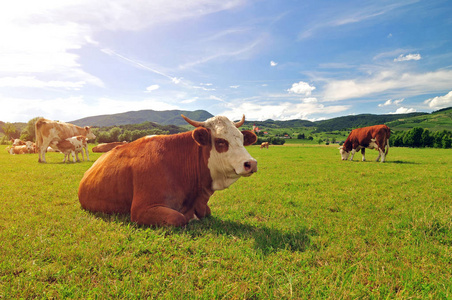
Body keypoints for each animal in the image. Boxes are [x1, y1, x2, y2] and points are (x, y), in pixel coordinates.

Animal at [78, 113, 258, 226]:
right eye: (221, 141)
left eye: (242, 139)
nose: (251, 163)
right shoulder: (141, 210)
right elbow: (178, 218)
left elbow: (207, 212)